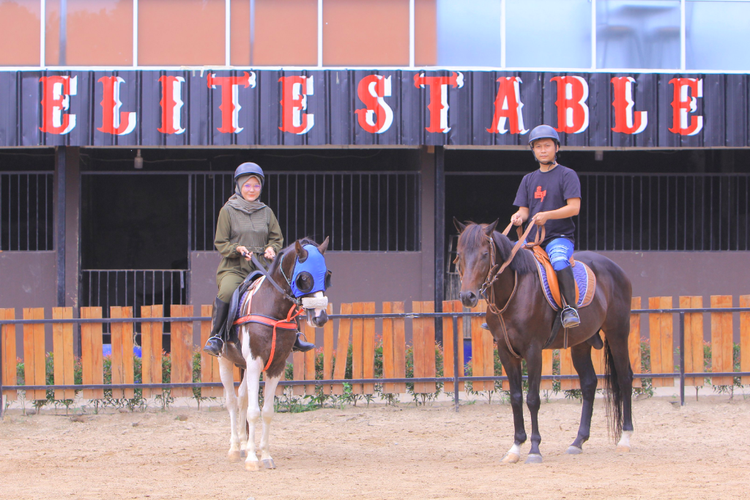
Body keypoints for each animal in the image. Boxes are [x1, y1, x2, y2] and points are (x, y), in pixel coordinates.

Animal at [216, 236, 330, 470]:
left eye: (327, 276)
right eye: (304, 278)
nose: (320, 317)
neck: (273, 309)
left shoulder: (276, 366)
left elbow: (267, 412)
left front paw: (265, 455)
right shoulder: (254, 363)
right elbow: (253, 411)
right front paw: (252, 459)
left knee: (242, 398)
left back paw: (244, 444)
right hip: (225, 361)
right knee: (232, 401)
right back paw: (235, 448)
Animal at [456, 220, 636, 464]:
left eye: (485, 254)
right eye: (459, 255)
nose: (468, 296)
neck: (513, 292)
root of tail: (616, 269)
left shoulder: (533, 351)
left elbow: (532, 398)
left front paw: (534, 449)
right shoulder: (505, 352)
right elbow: (515, 398)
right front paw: (515, 447)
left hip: (618, 333)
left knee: (625, 378)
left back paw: (624, 439)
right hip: (581, 343)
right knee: (589, 384)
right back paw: (578, 441)